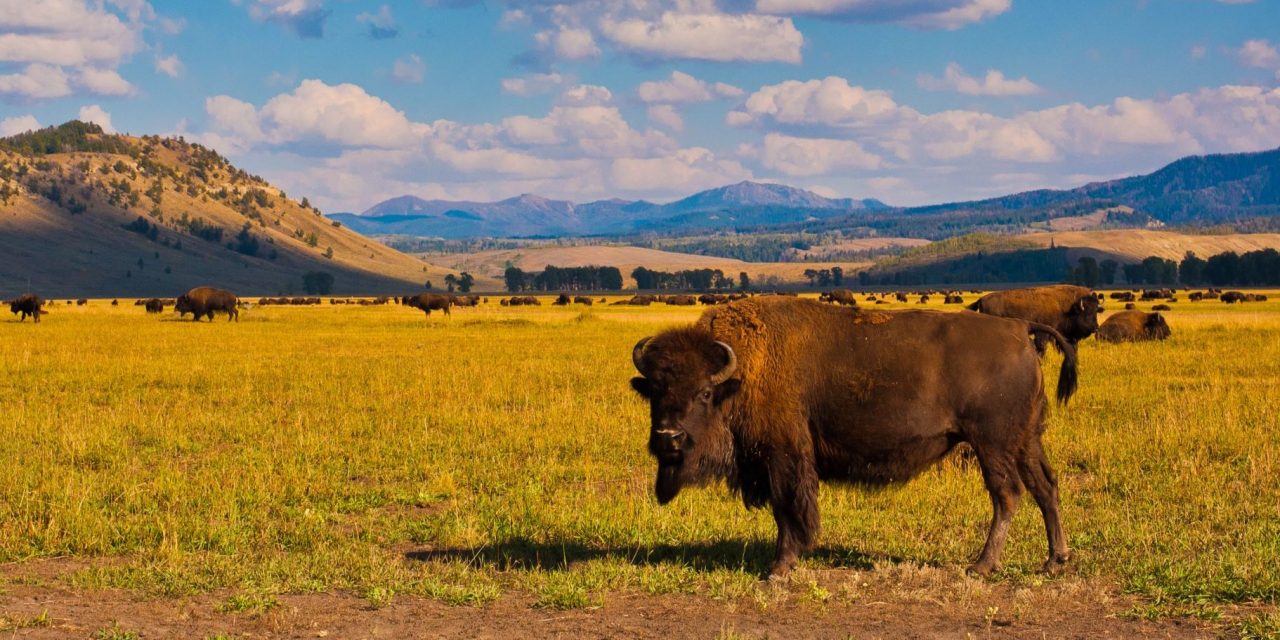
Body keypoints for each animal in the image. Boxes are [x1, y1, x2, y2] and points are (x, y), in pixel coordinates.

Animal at [630, 297, 1076, 579]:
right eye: (655, 390)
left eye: (704, 393)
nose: (668, 437)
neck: (739, 375)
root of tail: (1018, 328)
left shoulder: (784, 456)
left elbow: (788, 508)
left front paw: (779, 568)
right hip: (1024, 441)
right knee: (1045, 487)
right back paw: (1054, 561)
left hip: (992, 444)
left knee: (1008, 494)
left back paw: (982, 565)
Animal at [968, 285, 1100, 353]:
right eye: (1086, 312)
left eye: (1096, 310)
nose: (1095, 328)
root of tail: (981, 299)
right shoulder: (1044, 332)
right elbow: (1041, 346)